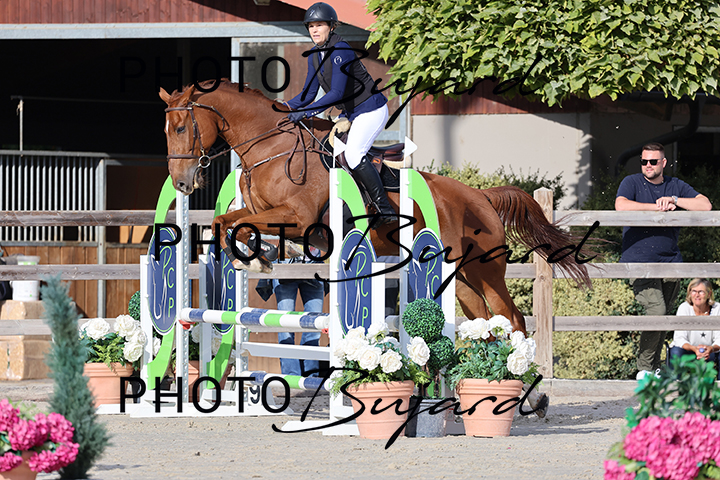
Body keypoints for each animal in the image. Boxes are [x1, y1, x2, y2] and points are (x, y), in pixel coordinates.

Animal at [159, 79, 591, 335]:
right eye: (167, 130)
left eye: (181, 128)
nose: (182, 183)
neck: (271, 147)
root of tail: (480, 196)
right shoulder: (265, 215)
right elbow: (225, 221)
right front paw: (255, 258)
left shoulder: (299, 219)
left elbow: (239, 224)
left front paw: (254, 260)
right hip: (463, 277)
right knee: (485, 320)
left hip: (486, 270)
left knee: (511, 317)